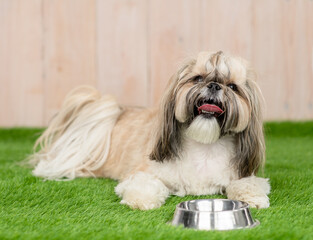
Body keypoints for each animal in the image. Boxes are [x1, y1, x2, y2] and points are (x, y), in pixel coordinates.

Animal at [28, 51, 270, 210]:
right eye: (198, 78)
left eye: (233, 87)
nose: (214, 85)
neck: (204, 146)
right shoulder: (144, 172)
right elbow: (146, 184)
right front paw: (140, 200)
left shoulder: (241, 175)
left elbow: (247, 185)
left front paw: (254, 199)